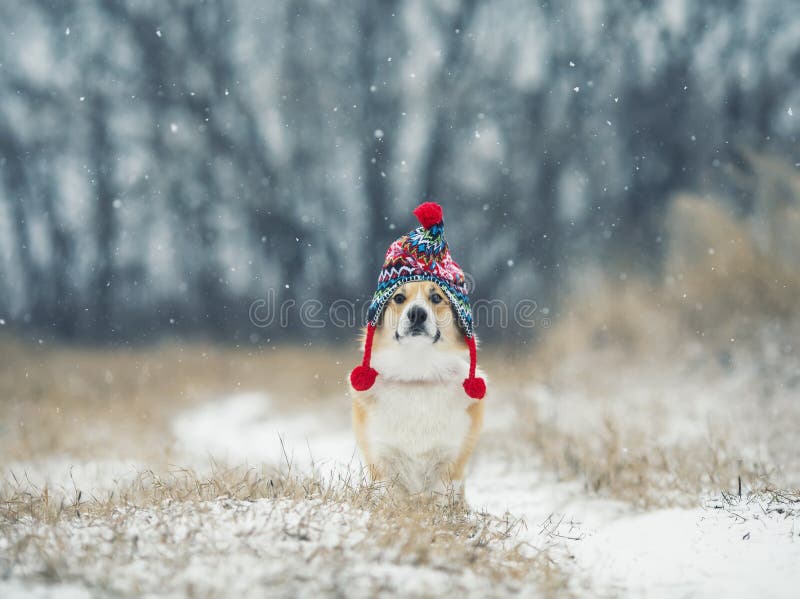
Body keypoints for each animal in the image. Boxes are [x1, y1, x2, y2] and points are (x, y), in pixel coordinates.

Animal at [352, 278, 488, 504]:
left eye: (436, 297)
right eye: (399, 297)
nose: (417, 313)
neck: (417, 373)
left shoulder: (451, 460)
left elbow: (440, 497)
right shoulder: (382, 459)